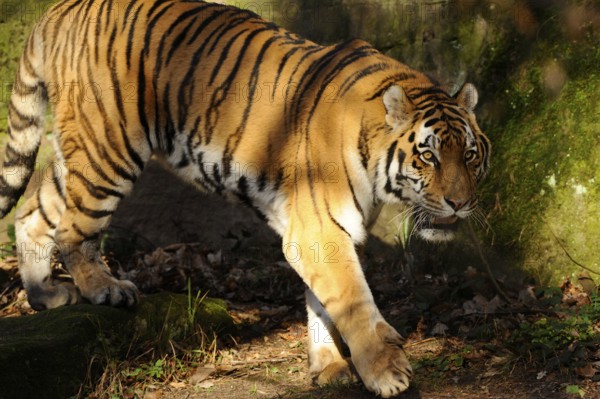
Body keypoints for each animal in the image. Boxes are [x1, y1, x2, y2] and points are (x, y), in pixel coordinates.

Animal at [0, 0, 488, 396]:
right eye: (428, 156)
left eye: (469, 155)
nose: (460, 202)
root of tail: (58, 10)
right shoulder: (320, 230)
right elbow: (352, 302)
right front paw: (386, 372)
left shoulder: (327, 230)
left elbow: (322, 302)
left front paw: (328, 368)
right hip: (107, 149)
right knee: (74, 230)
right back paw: (104, 289)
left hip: (79, 152)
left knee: (31, 214)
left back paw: (46, 295)